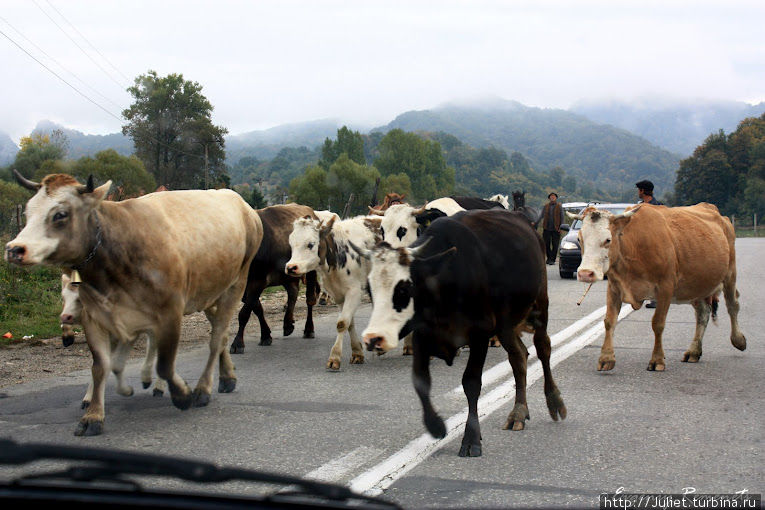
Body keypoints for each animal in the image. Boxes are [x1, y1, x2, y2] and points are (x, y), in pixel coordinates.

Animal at [5, 171, 264, 434]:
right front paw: (93, 416)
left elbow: (165, 364)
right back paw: (227, 377)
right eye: (27, 211)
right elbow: (101, 366)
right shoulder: (96, 317)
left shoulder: (170, 312)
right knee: (220, 334)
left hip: (235, 285)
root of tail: (243, 205)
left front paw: (182, 394)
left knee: (217, 338)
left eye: (60, 214)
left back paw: (203, 389)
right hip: (208, 293)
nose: (14, 249)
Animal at [228, 203, 320, 354]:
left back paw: (308, 329)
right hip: (288, 275)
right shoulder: (245, 289)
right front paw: (266, 335)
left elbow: (244, 313)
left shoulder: (257, 282)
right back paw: (288, 324)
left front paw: (237, 343)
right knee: (293, 292)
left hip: (311, 272)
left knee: (310, 299)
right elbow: (257, 308)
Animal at [286, 213, 380, 368]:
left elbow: (342, 323)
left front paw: (334, 357)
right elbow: (349, 323)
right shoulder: (339, 295)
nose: (291, 267)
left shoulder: (354, 291)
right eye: (291, 243)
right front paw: (357, 353)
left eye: (310, 244)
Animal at [350, 209, 564, 456]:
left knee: (543, 348)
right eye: (369, 288)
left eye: (404, 288)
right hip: (505, 324)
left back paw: (554, 401)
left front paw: (471, 438)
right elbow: (420, 382)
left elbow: (471, 383)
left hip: (539, 305)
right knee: (518, 356)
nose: (373, 338)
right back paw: (518, 412)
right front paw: (436, 425)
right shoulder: (423, 336)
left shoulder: (480, 334)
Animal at [572, 201, 748, 372]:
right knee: (703, 313)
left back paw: (738, 340)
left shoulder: (665, 288)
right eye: (580, 239)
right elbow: (609, 321)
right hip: (697, 285)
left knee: (733, 305)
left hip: (730, 274)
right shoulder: (615, 287)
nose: (585, 273)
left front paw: (657, 360)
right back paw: (694, 351)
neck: (634, 246)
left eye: (608, 240)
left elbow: (658, 323)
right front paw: (606, 358)